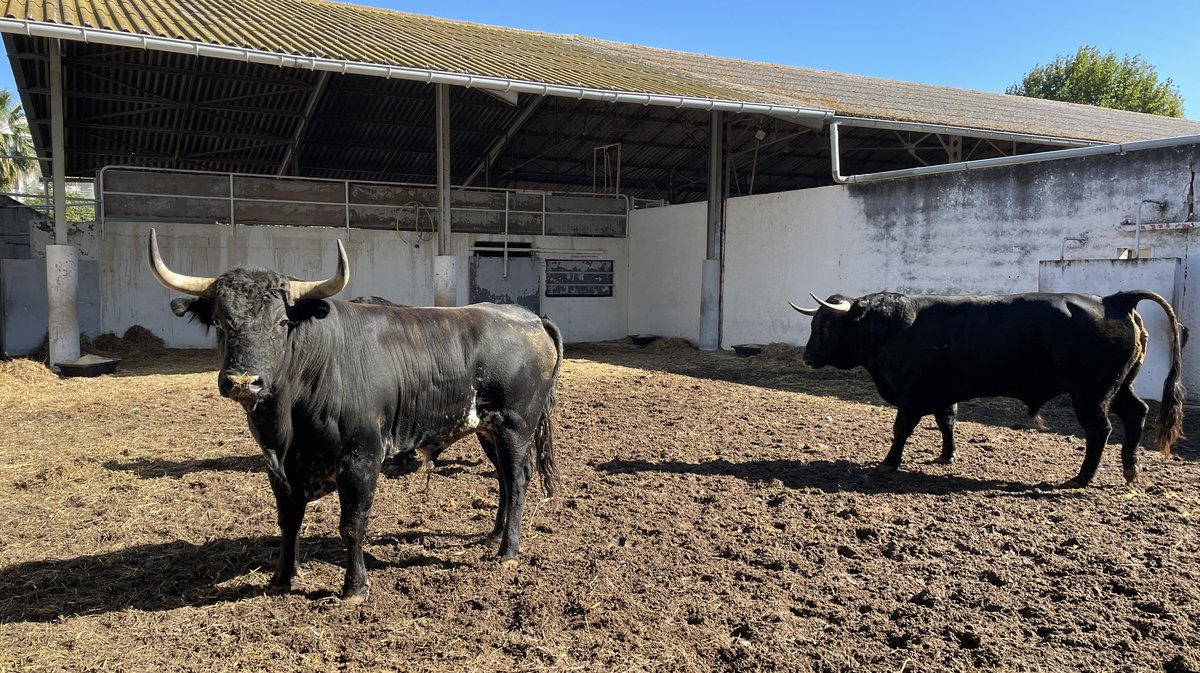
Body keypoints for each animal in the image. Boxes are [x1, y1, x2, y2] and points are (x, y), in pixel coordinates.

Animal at [150, 227, 561, 599]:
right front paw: (282, 578)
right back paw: (493, 534)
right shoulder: (277, 467)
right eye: (220, 322)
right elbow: (288, 521)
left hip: (515, 426)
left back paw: (507, 550)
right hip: (488, 430)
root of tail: (527, 317)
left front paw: (354, 587)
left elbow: (352, 525)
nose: (242, 381)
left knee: (517, 480)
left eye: (282, 322)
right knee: (504, 479)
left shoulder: (362, 458)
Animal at [792, 291, 1185, 484]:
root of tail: (1113, 300)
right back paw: (1130, 468)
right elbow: (947, 422)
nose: (807, 358)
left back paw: (1081, 478)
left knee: (1100, 430)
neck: (895, 325)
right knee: (1136, 414)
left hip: (1091, 392)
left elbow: (901, 428)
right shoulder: (942, 394)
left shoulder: (912, 394)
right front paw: (947, 455)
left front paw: (889, 463)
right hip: (1117, 388)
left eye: (825, 325)